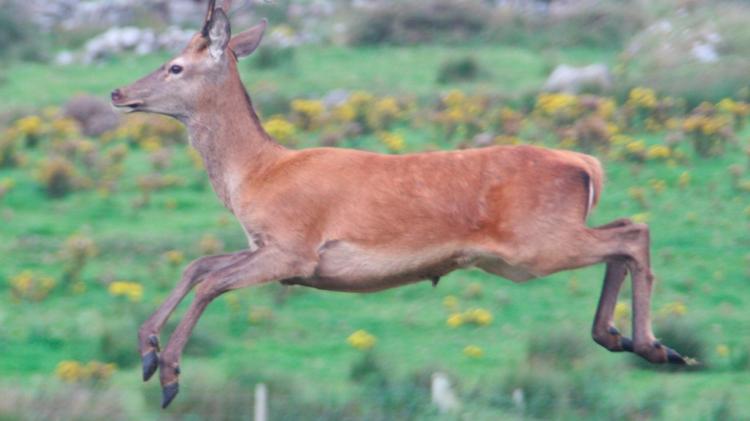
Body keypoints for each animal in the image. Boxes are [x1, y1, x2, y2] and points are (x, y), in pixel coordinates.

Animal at [111, 0, 688, 409]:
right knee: (623, 229)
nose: (118, 93)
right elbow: (199, 264)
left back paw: (652, 344)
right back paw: (620, 337)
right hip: (546, 237)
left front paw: (168, 374)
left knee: (633, 233)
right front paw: (145, 349)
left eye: (175, 66)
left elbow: (211, 281)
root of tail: (586, 163)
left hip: (534, 243)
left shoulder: (295, 248)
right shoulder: (271, 249)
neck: (256, 175)